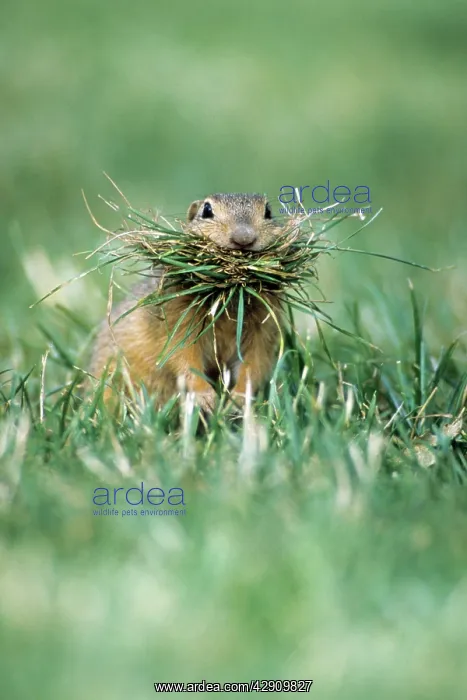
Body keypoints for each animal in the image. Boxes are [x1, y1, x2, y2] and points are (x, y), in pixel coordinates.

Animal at [90, 193, 285, 411]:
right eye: (207, 210)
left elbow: (254, 364)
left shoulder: (264, 327)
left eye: (268, 212)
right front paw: (204, 397)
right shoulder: (177, 318)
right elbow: (183, 357)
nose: (244, 238)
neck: (227, 300)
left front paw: (239, 398)